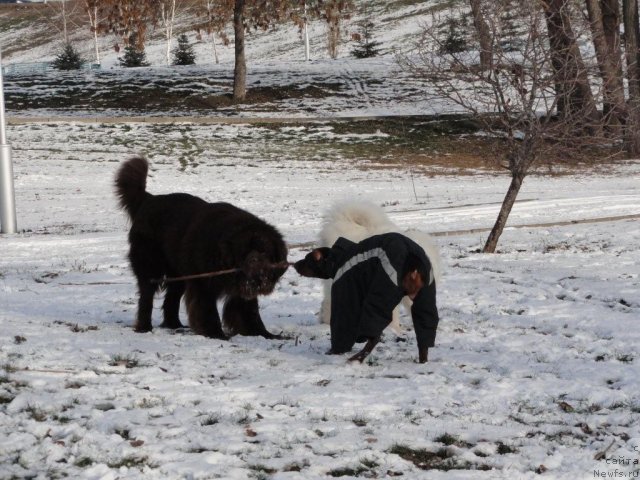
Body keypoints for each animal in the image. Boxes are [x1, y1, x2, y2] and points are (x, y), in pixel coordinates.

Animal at [114, 156, 288, 340]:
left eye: (264, 250)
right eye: (243, 253)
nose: (254, 260)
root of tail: (148, 200)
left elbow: (250, 312)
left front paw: (265, 334)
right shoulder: (203, 284)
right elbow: (208, 310)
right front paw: (216, 334)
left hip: (178, 273)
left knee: (171, 298)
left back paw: (174, 325)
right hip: (150, 266)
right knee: (146, 297)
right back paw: (144, 328)